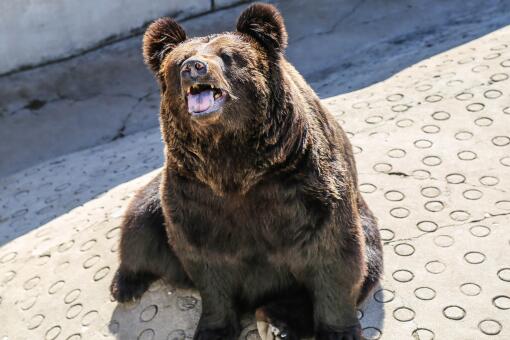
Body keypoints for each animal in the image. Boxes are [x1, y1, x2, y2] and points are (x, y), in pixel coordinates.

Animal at [111, 3, 382, 340]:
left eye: (227, 55)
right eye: (178, 62)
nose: (194, 67)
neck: (236, 165)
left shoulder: (304, 187)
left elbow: (334, 256)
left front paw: (338, 330)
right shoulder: (197, 197)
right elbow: (207, 265)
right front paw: (214, 329)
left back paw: (276, 320)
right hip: (159, 203)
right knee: (139, 224)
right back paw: (125, 284)